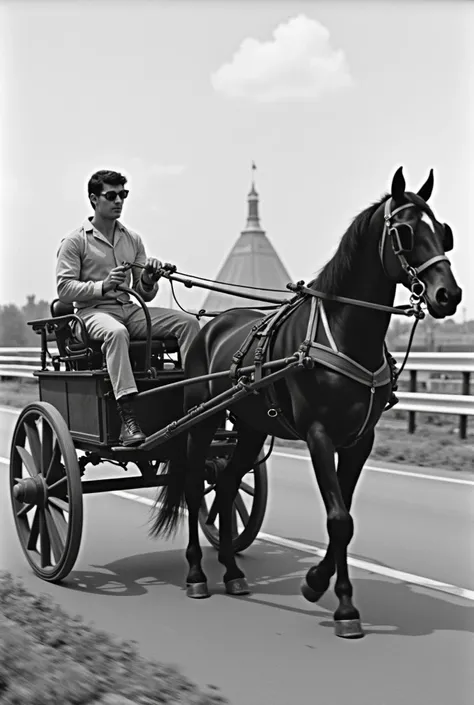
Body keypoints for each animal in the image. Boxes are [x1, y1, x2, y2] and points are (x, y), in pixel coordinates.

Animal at [147, 166, 460, 640]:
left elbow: (344, 517)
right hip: (201, 420)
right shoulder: (319, 436)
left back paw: (233, 571)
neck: (345, 334)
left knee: (226, 483)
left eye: (443, 232)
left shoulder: (360, 440)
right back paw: (198, 574)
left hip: (251, 426)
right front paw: (339, 603)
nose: (449, 295)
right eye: (404, 232)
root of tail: (208, 327)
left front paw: (320, 585)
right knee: (193, 485)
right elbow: (338, 519)